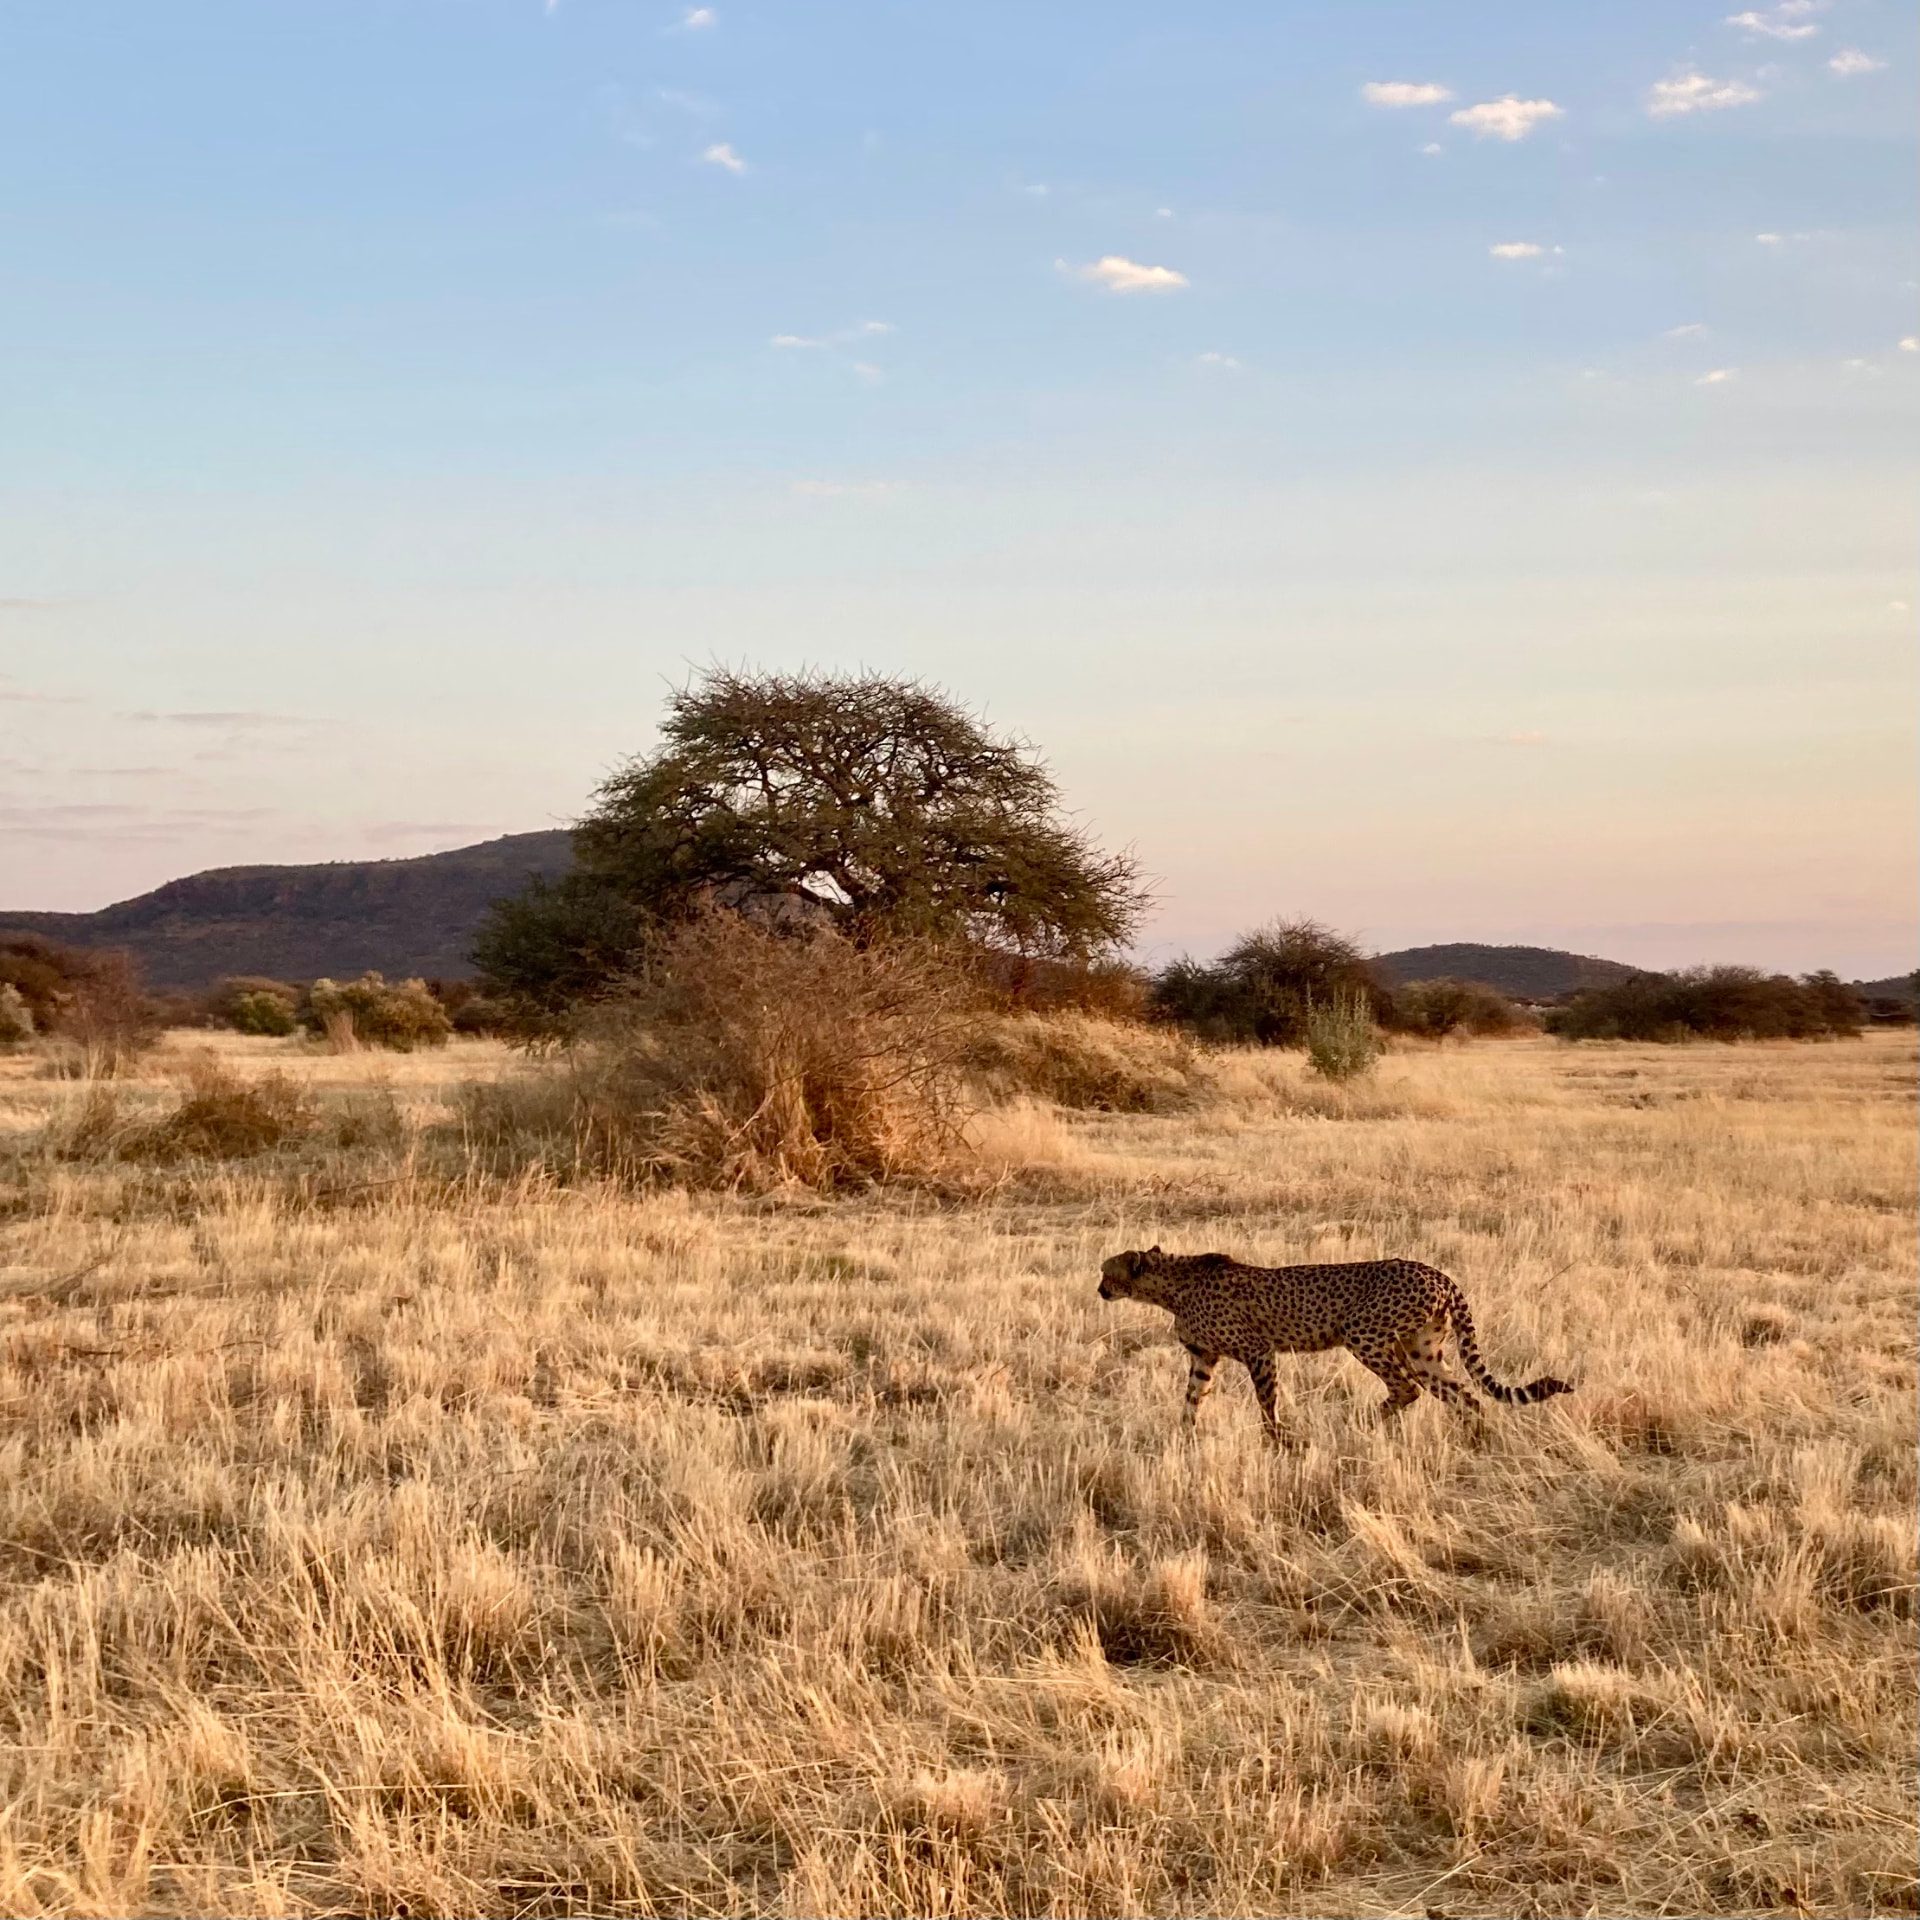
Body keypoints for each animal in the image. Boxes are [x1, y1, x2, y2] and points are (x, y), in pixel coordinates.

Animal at [1098, 1245, 1572, 1440]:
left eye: (1107, 1271)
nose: (1099, 1290)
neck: (1171, 1286)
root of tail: (1438, 1273)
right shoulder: (1204, 1357)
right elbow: (1191, 1399)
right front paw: (1182, 1436)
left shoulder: (1258, 1351)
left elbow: (1266, 1402)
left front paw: (1279, 1441)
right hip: (1423, 1349)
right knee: (1462, 1394)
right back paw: (1475, 1439)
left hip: (1364, 1334)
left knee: (1407, 1388)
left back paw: (1361, 1422)